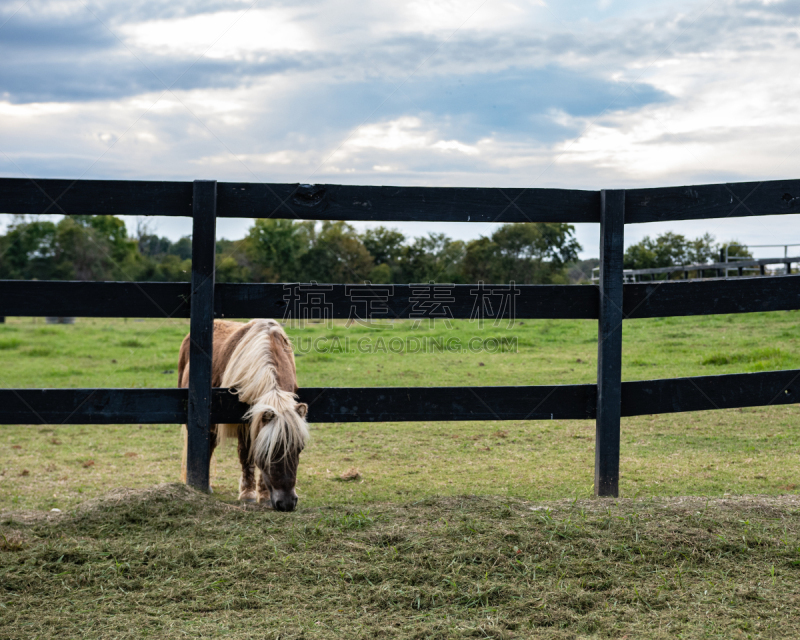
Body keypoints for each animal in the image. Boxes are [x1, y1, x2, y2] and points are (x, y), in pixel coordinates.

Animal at [178, 318, 310, 510]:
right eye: (269, 451)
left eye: (300, 448)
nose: (287, 503)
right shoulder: (244, 423)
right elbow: (247, 455)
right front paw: (248, 494)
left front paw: (263, 495)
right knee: (207, 446)